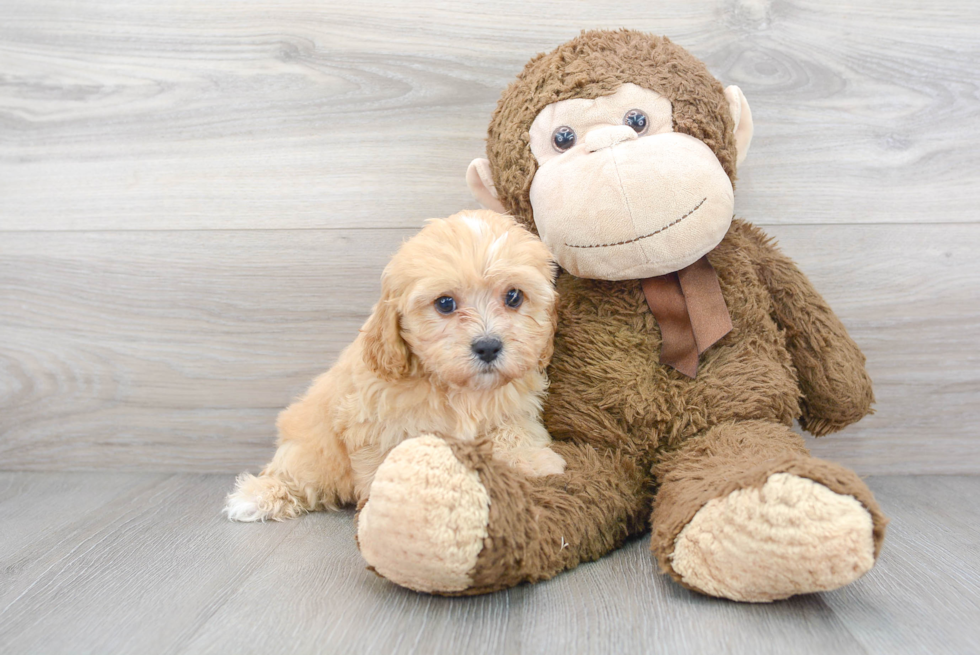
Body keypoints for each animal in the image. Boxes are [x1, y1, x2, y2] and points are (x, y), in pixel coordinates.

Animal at [228, 210, 568, 524]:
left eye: (513, 297)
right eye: (445, 303)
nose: (488, 347)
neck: (461, 390)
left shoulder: (514, 405)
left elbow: (515, 432)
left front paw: (536, 463)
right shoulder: (375, 425)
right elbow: (383, 464)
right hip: (310, 451)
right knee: (296, 477)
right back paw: (258, 495)